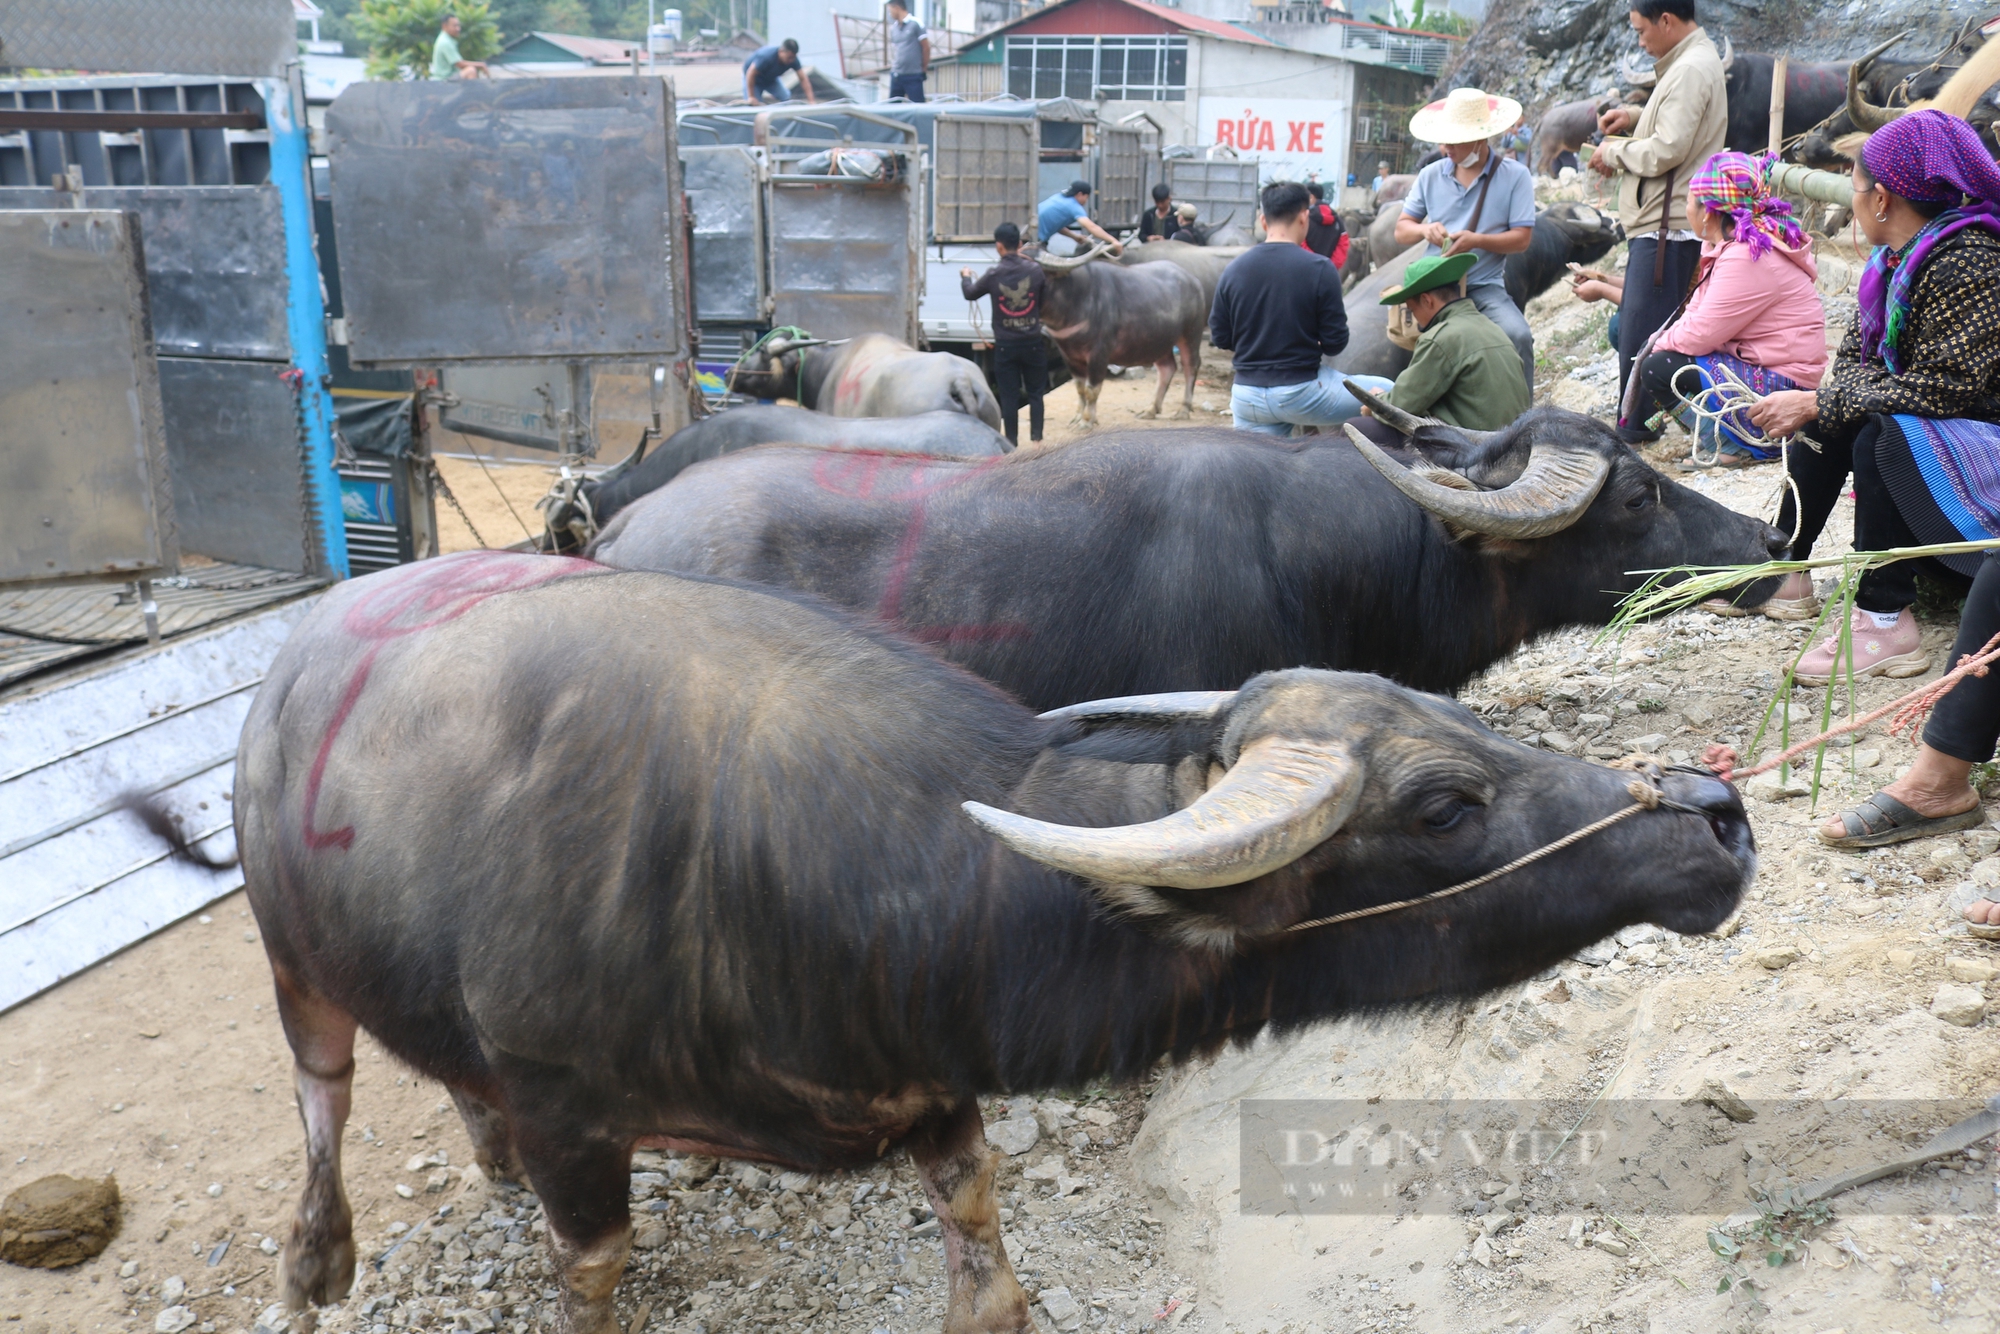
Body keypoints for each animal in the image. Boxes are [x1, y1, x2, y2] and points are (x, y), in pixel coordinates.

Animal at [211, 544, 1760, 1334]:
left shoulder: (930, 1086)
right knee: (320, 1092)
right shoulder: (575, 1130)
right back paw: (314, 1261)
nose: (1715, 815)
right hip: (292, 966)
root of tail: (292, 670)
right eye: (1442, 803)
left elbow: (984, 1250)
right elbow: (589, 1271)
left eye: (1460, 718)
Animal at [1032, 243, 1200, 426]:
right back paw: (1150, 410)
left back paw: (1183, 410)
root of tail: (1193, 280)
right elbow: (1080, 388)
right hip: (1159, 341)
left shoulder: (1099, 353)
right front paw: (1077, 417)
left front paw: (1087, 421)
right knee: (1167, 368)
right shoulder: (1068, 355)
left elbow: (1091, 389)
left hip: (1190, 334)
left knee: (1191, 366)